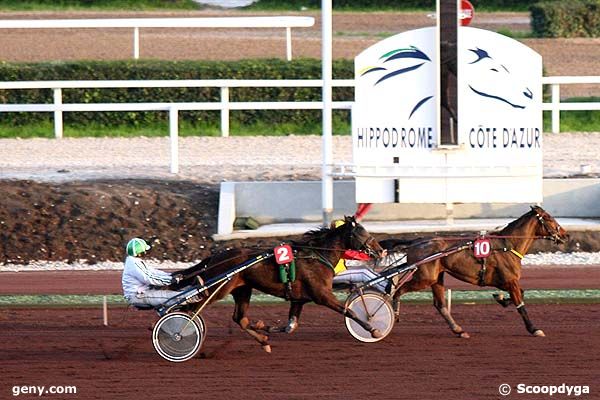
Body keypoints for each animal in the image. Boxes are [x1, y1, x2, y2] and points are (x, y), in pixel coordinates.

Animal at [171, 217, 384, 352]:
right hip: (219, 288)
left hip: (242, 289)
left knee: (240, 319)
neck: (317, 256)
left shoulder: (298, 300)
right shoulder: (322, 296)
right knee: (192, 309)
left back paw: (263, 341)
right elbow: (350, 311)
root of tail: (216, 257)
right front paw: (373, 329)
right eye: (361, 233)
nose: (381, 250)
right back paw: (179, 331)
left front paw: (265, 328)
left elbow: (291, 326)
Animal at [382, 208, 568, 340]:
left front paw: (501, 298)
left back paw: (459, 330)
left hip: (436, 278)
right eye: (549, 217)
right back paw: (394, 314)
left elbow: (519, 294)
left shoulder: (506, 282)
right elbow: (521, 305)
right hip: (424, 278)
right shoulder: (510, 281)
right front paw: (534, 329)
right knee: (398, 290)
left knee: (440, 305)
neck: (507, 245)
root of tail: (417, 241)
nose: (565, 235)